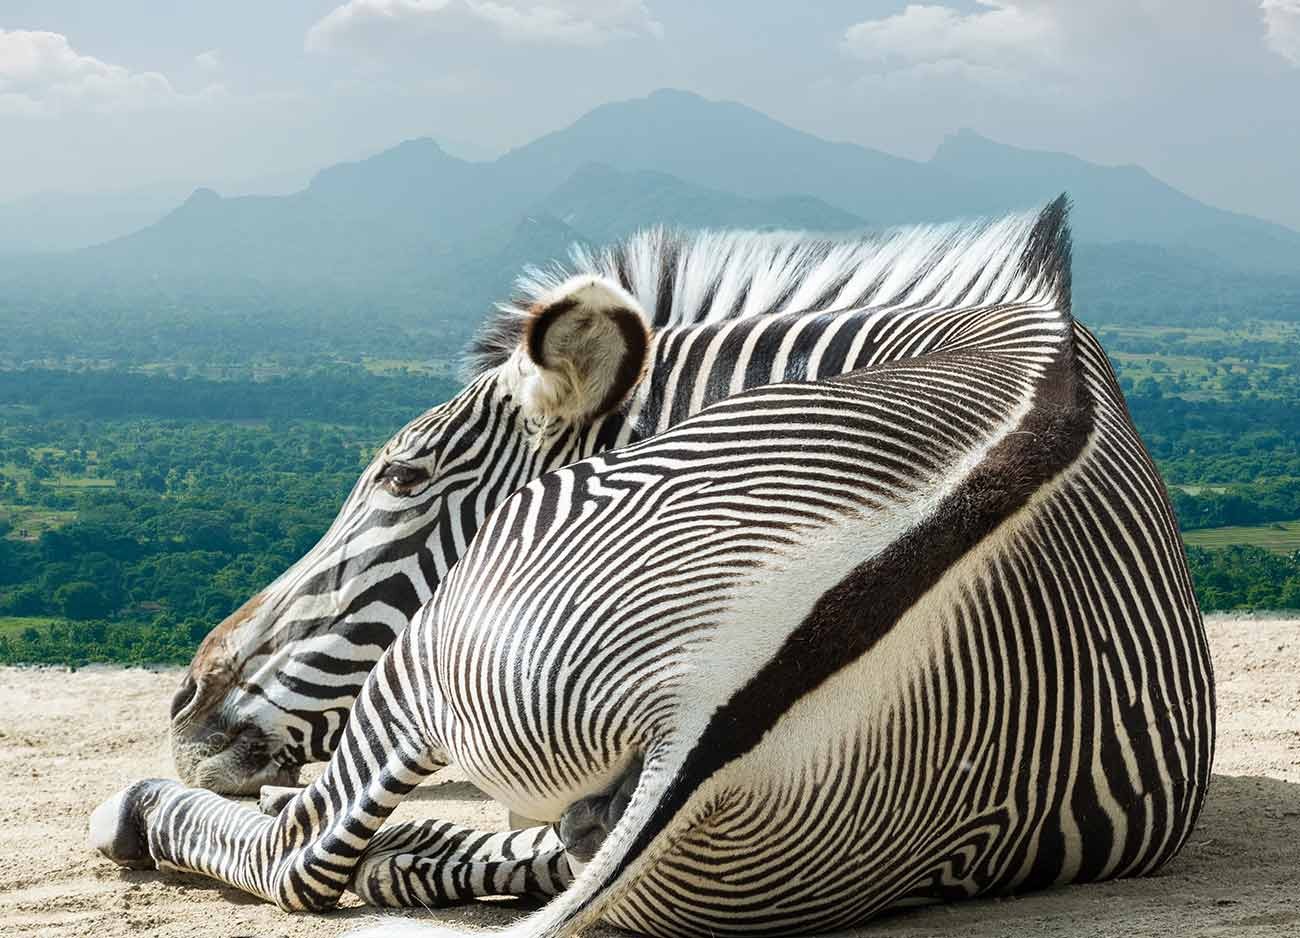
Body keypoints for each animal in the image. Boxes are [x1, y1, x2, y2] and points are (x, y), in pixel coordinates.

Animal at [91, 199, 1214, 938]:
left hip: (434, 651)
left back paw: (158, 812)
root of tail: (702, 704)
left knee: (306, 857)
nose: (185, 703)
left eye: (403, 477)